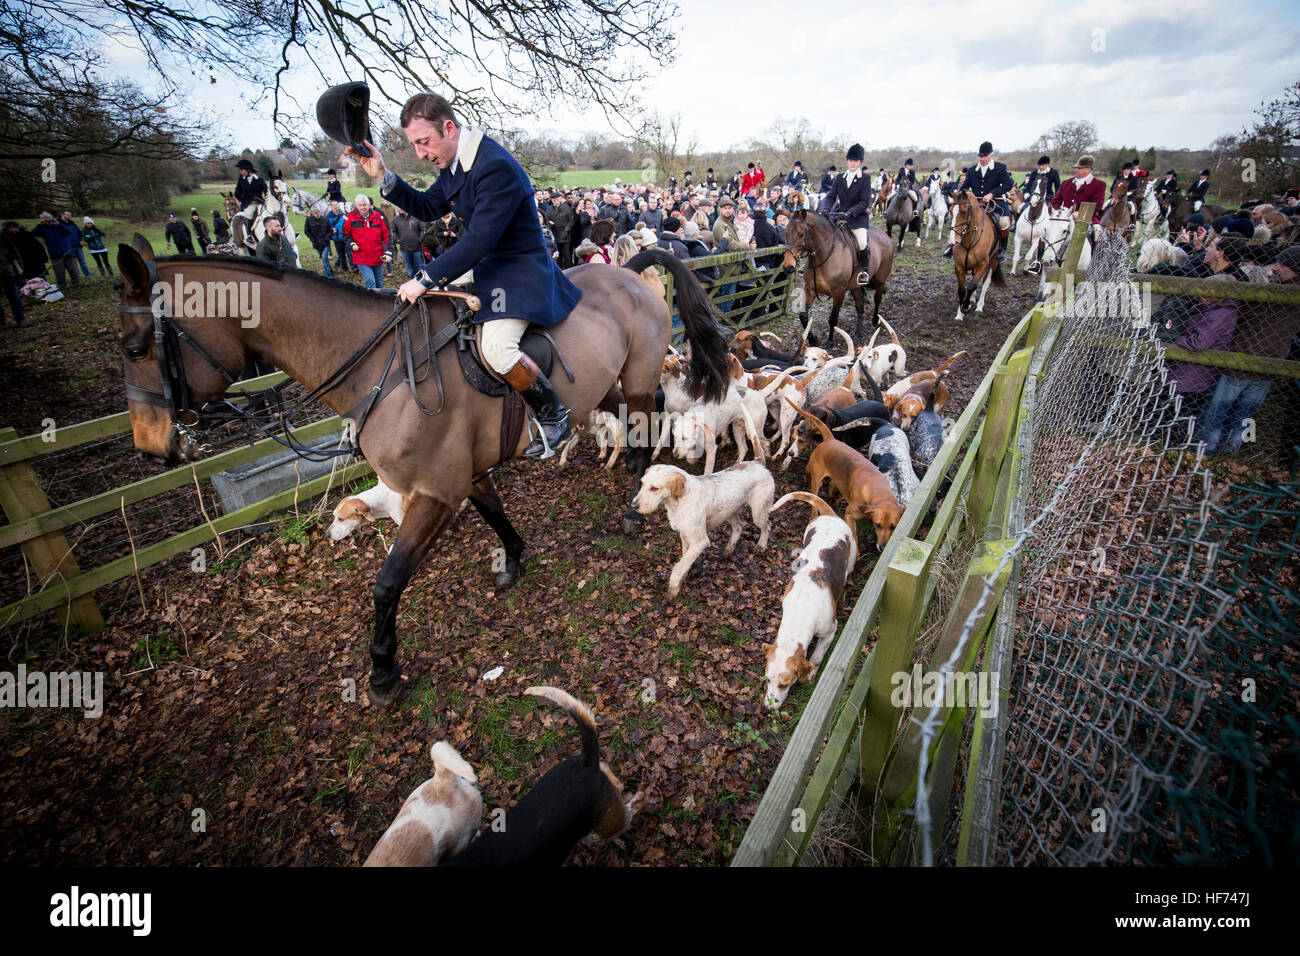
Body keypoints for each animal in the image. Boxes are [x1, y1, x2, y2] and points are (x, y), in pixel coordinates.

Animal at [113, 236, 733, 707]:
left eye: (137, 347)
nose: (151, 451)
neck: (381, 368)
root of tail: (628, 273)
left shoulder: (432, 493)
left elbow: (387, 583)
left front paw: (384, 672)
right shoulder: (461, 476)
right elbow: (495, 512)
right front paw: (513, 559)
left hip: (634, 378)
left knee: (646, 424)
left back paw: (634, 503)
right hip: (608, 385)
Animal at [780, 210, 894, 345]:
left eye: (801, 234)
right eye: (785, 233)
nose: (788, 267)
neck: (823, 257)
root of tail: (884, 235)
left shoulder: (839, 292)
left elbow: (833, 319)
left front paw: (830, 342)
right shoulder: (810, 289)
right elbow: (803, 316)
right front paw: (813, 339)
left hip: (880, 279)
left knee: (877, 298)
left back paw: (875, 320)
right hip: (855, 286)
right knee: (859, 306)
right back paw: (858, 332)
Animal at [951, 188, 1008, 323]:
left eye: (964, 212)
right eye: (950, 211)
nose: (953, 241)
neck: (969, 240)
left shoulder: (982, 264)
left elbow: (972, 285)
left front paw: (965, 305)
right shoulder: (959, 266)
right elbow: (962, 289)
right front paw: (959, 314)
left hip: (993, 262)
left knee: (985, 283)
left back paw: (979, 306)